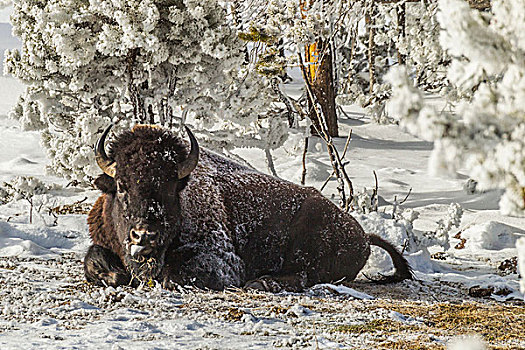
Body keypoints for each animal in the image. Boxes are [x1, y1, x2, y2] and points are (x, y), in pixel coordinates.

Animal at [85, 124, 414, 292]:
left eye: (170, 187)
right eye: (122, 185)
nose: (144, 236)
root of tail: (362, 234)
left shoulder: (224, 261)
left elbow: (174, 275)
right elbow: (93, 261)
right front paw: (114, 276)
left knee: (304, 275)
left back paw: (263, 282)